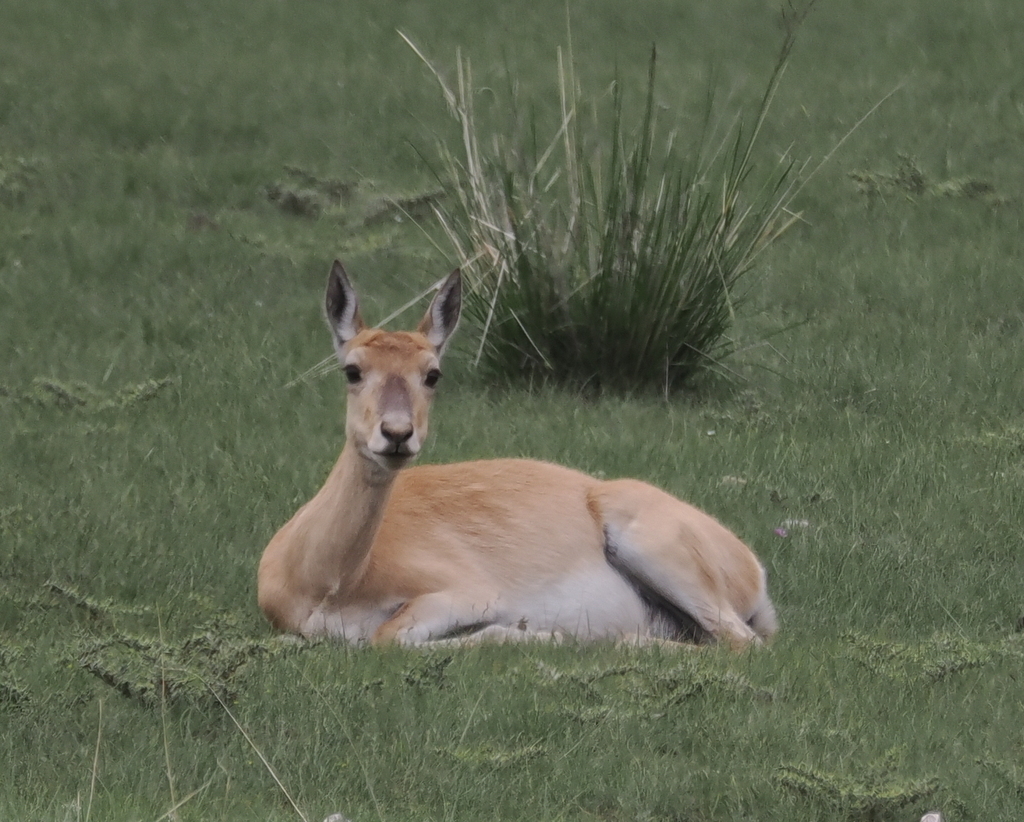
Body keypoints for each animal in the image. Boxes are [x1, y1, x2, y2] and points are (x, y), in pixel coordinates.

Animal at [257, 261, 778, 648]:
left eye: (432, 373)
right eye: (352, 369)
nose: (397, 433)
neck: (327, 583)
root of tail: (753, 569)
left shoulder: (470, 590)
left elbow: (390, 637)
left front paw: (536, 633)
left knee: (740, 642)